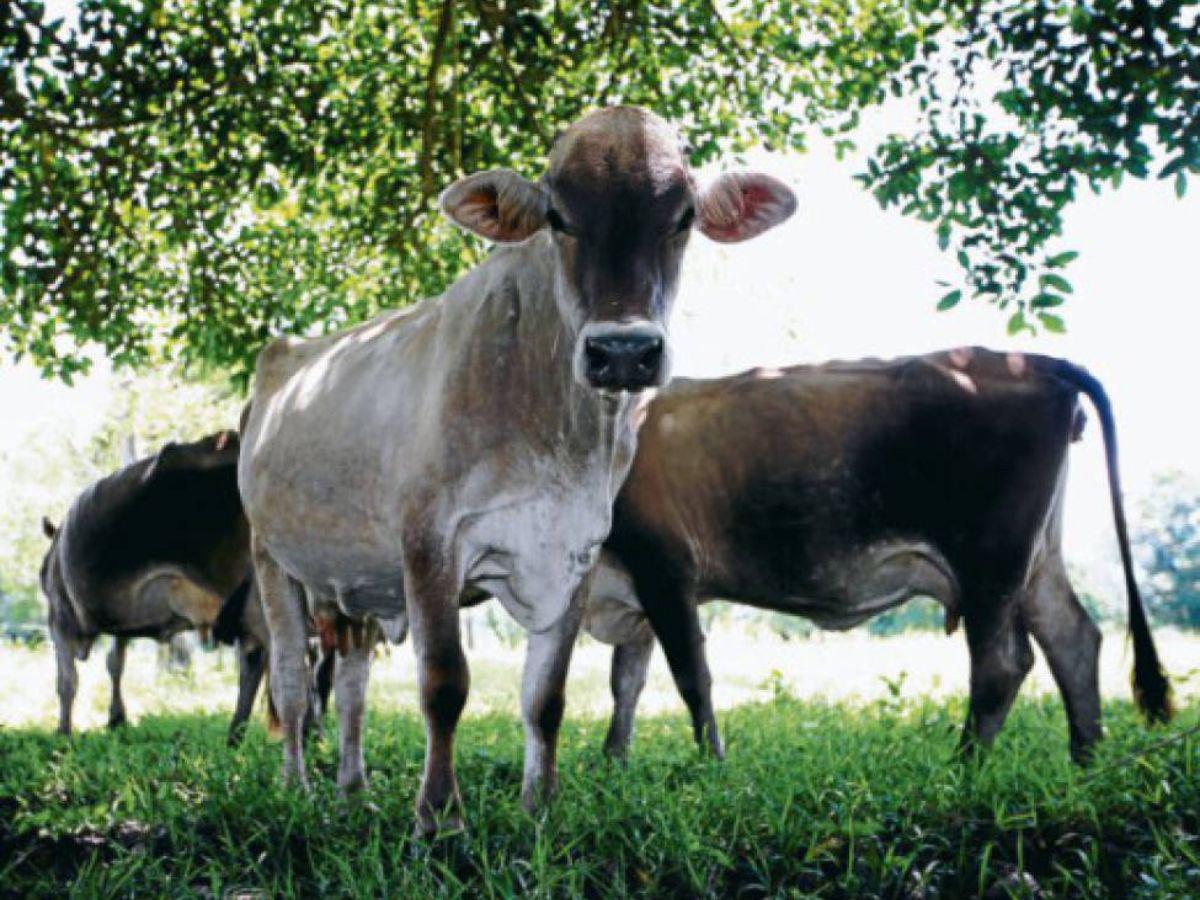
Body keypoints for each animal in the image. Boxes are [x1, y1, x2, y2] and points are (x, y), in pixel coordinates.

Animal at [39, 434, 248, 734]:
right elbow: (115, 663)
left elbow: (66, 680)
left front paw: (64, 732)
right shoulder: (122, 620)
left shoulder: (58, 616)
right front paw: (116, 718)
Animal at [236, 107, 796, 840]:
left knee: (352, 684)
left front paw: (540, 808)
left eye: (682, 217)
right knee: (294, 685)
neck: (557, 433)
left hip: (355, 585)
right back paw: (298, 788)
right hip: (273, 560)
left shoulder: (575, 548)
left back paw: (353, 790)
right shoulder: (431, 544)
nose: (624, 352)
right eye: (558, 217)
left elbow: (545, 696)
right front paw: (439, 819)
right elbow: (444, 684)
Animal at [580, 348, 1171, 763]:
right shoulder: (634, 593)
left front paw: (711, 767)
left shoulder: (663, 567)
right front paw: (614, 764)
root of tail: (1037, 362)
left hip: (991, 557)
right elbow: (625, 683)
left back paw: (965, 768)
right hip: (1036, 558)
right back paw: (1085, 760)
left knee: (1002, 663)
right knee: (1072, 639)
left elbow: (690, 677)